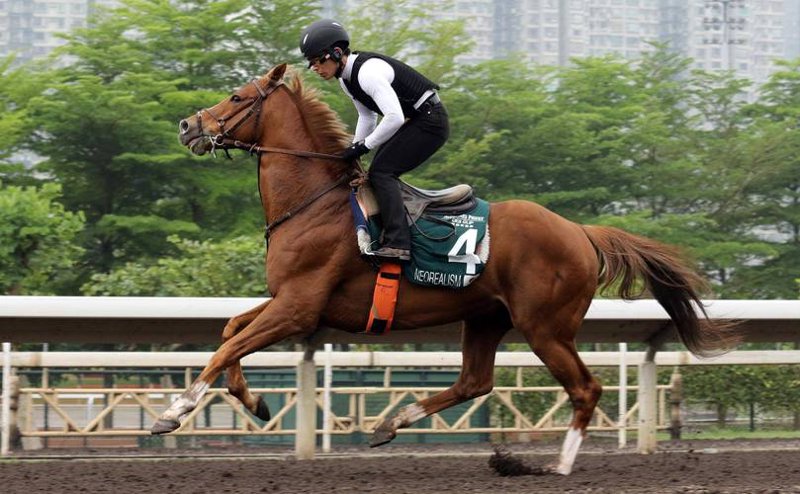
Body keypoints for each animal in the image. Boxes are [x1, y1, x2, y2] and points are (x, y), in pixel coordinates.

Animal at [156, 63, 738, 474]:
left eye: (237, 97)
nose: (187, 125)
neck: (313, 202)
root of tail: (580, 232)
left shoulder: (300, 308)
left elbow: (228, 345)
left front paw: (174, 411)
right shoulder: (292, 301)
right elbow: (231, 331)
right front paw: (252, 400)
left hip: (545, 327)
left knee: (585, 389)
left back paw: (559, 465)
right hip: (485, 318)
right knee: (474, 382)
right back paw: (392, 423)